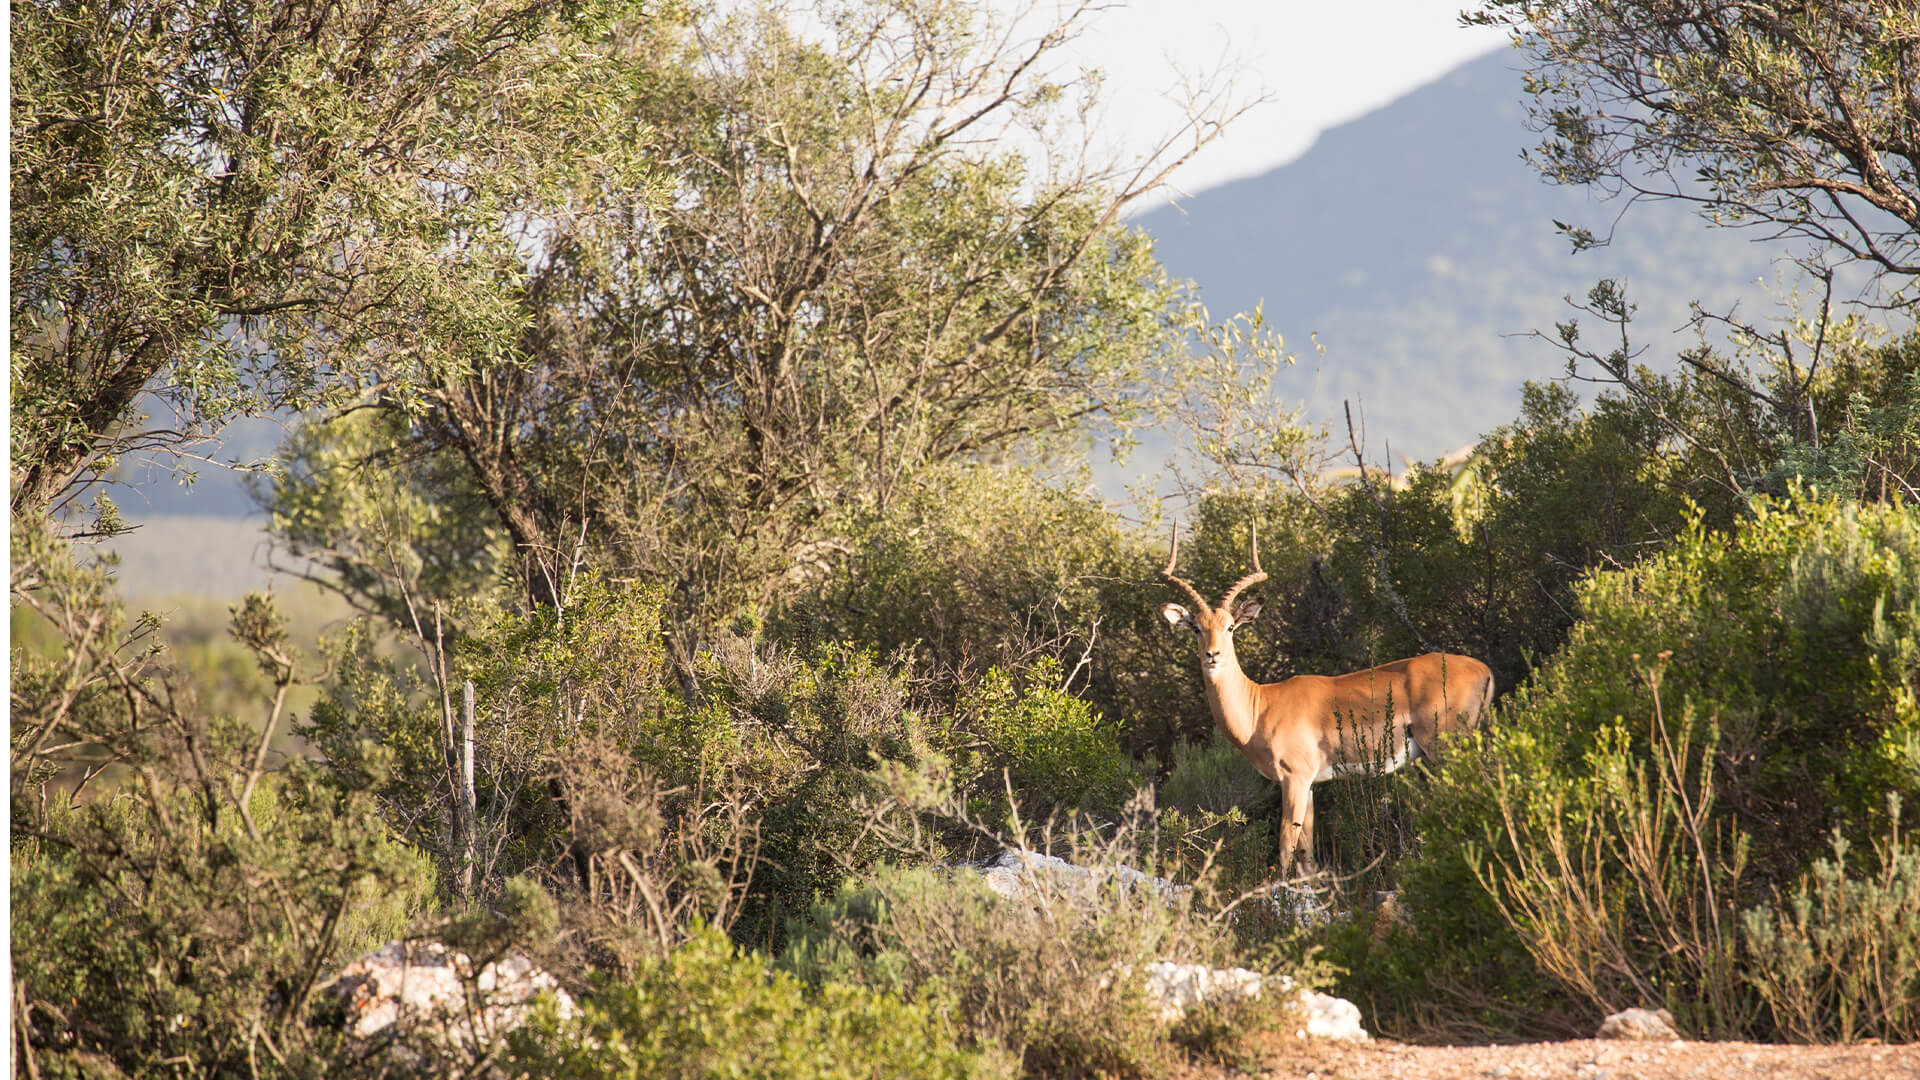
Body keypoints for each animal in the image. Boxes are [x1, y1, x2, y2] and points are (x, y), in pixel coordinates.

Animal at [1152, 522, 1497, 876]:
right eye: (1195, 627)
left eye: (1231, 626)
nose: (1213, 655)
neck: (1260, 706)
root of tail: (1482, 669)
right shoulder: (1310, 785)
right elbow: (1307, 856)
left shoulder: (1294, 779)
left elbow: (1285, 848)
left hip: (1445, 747)